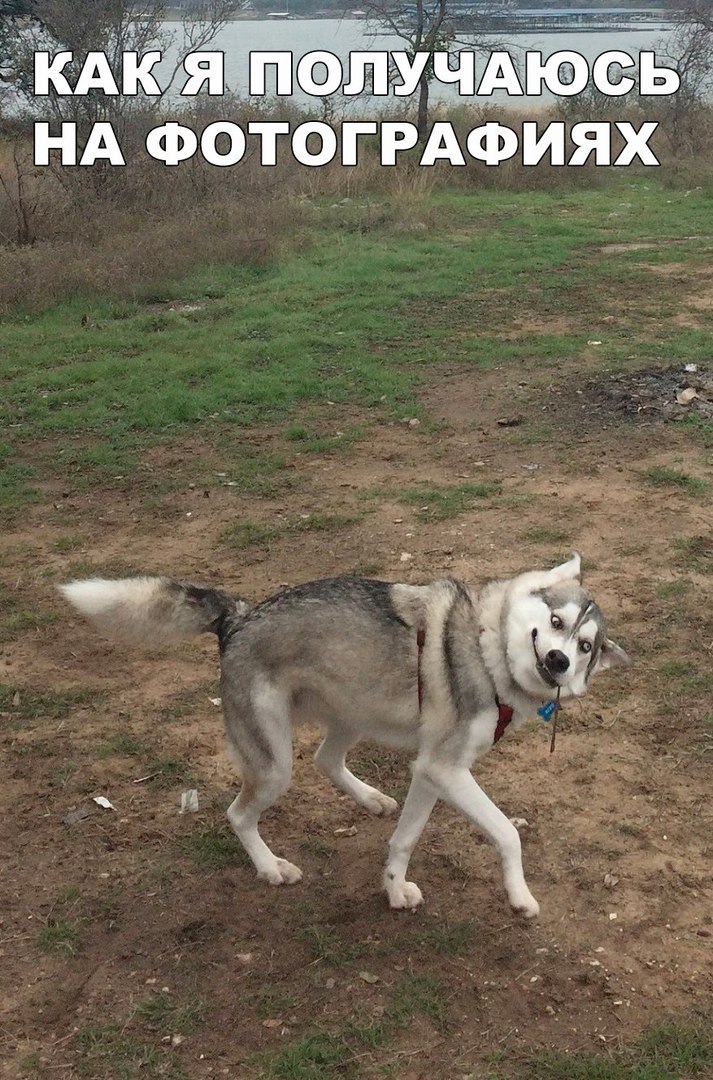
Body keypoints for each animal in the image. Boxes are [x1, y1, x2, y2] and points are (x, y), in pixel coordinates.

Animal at [62, 557, 630, 920]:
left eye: (585, 646)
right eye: (554, 621)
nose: (558, 660)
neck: (488, 650)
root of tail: (239, 615)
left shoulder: (432, 773)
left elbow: (404, 839)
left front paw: (394, 891)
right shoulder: (446, 770)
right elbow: (508, 833)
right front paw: (519, 897)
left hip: (352, 714)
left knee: (325, 760)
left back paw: (371, 798)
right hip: (273, 765)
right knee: (239, 814)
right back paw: (271, 868)